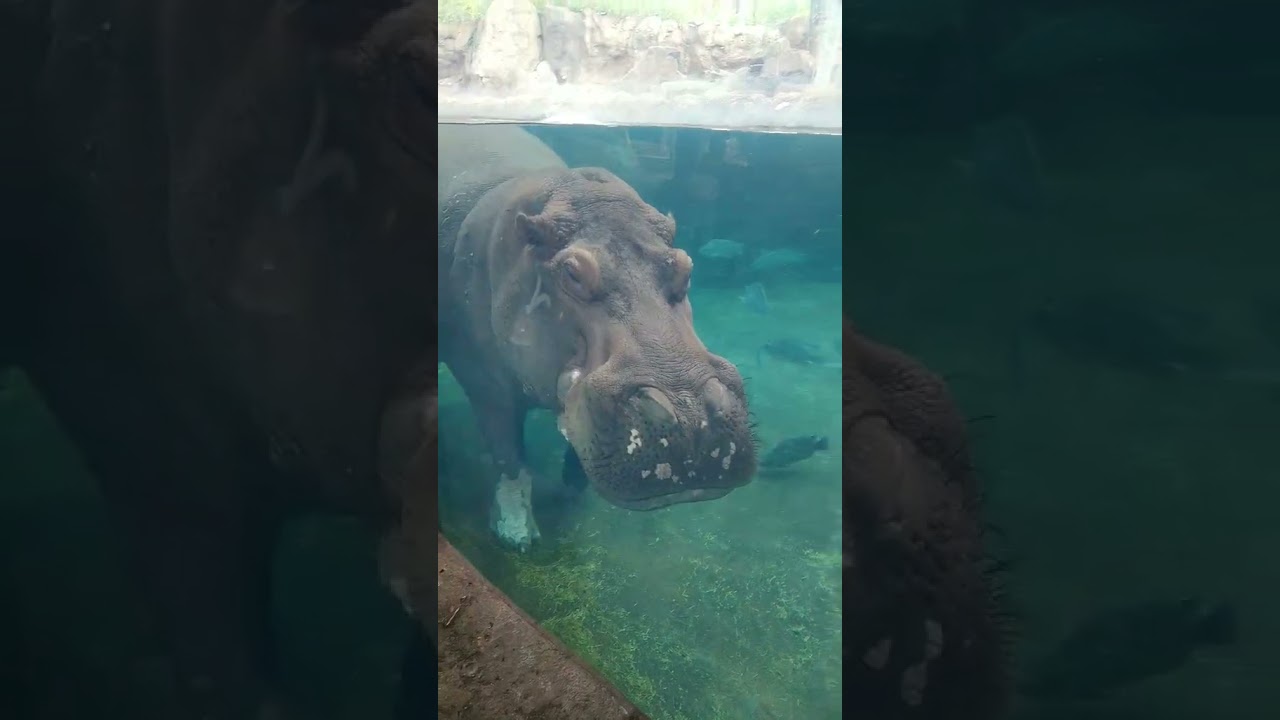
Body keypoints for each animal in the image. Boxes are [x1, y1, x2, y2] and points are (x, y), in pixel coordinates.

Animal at [438, 124, 758, 550]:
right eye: (572, 273)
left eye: (685, 266)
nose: (692, 417)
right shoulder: (485, 383)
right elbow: (508, 455)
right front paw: (517, 536)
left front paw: (572, 493)